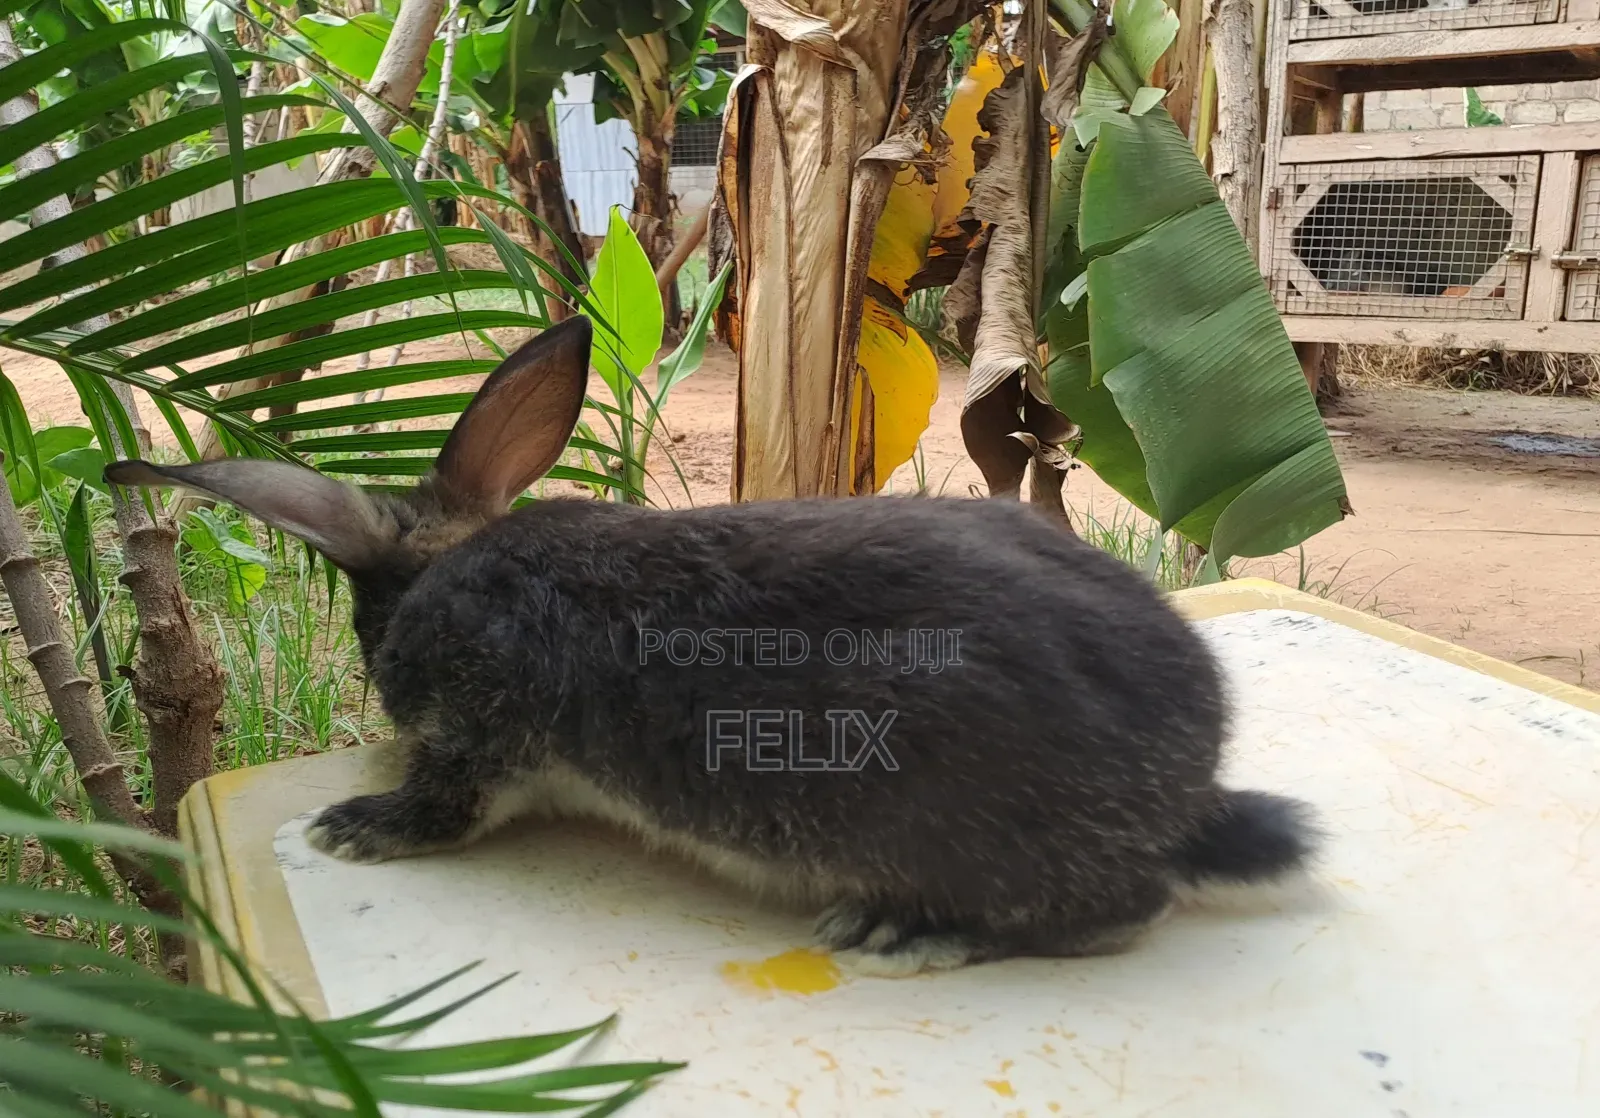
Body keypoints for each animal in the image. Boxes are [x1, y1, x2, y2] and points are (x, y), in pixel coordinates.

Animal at [105, 316, 1317, 976]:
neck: (452, 563)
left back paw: (906, 933)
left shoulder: (477, 739)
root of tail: (1189, 797)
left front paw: (351, 827)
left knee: (1118, 914)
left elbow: (448, 806)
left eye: (368, 630)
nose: (374, 676)